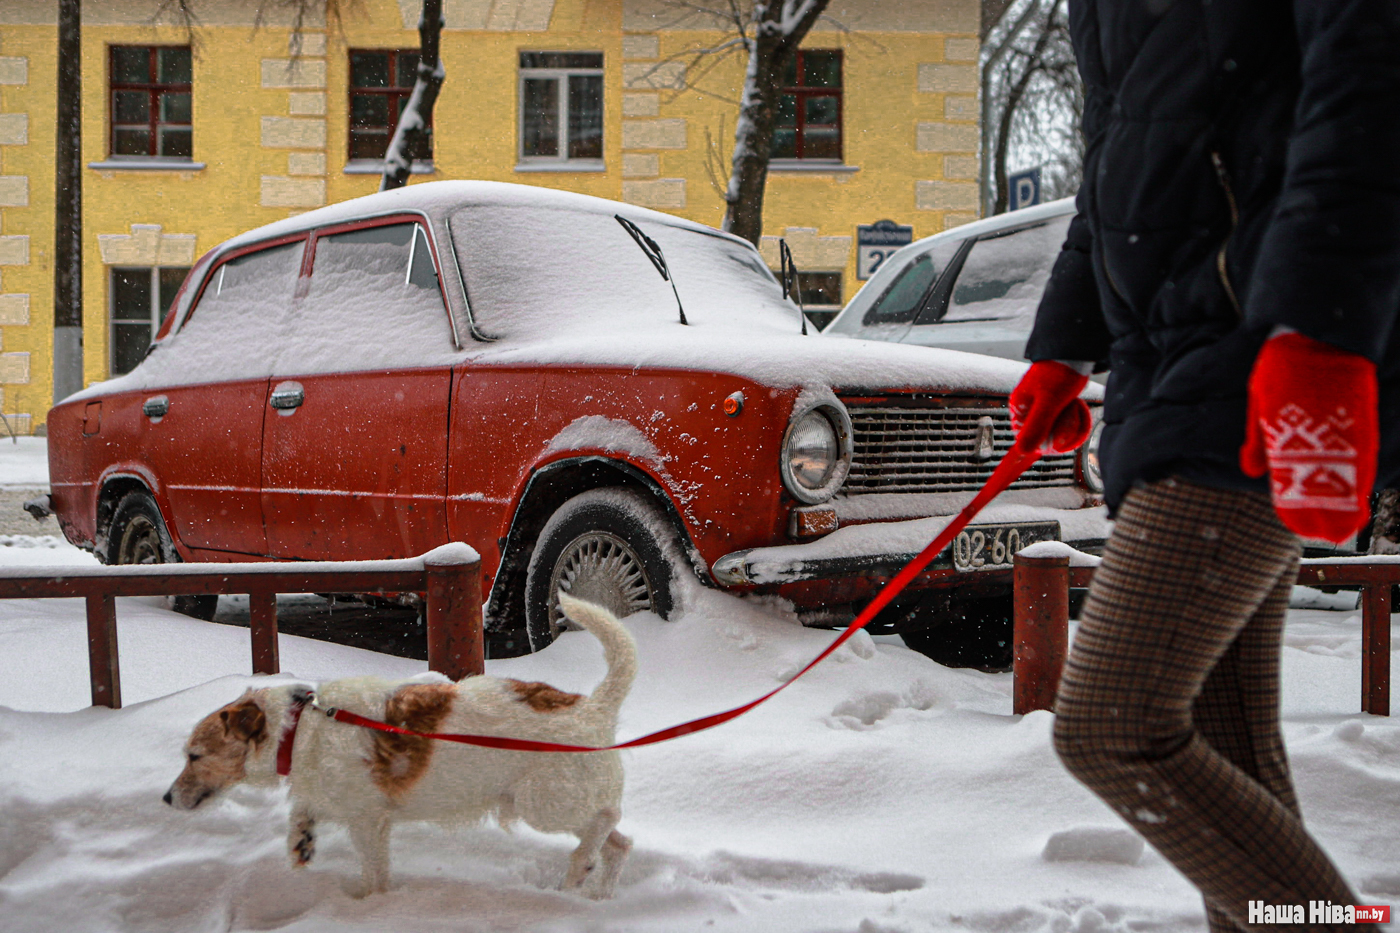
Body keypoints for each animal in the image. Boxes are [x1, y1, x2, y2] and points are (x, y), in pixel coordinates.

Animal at [165, 591, 641, 896]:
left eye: (195, 755)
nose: (167, 798)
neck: (299, 728)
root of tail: (595, 707)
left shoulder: (367, 822)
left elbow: (375, 873)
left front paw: (370, 905)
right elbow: (303, 812)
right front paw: (301, 842)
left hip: (544, 803)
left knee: (607, 821)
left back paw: (579, 868)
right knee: (620, 844)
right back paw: (596, 893)